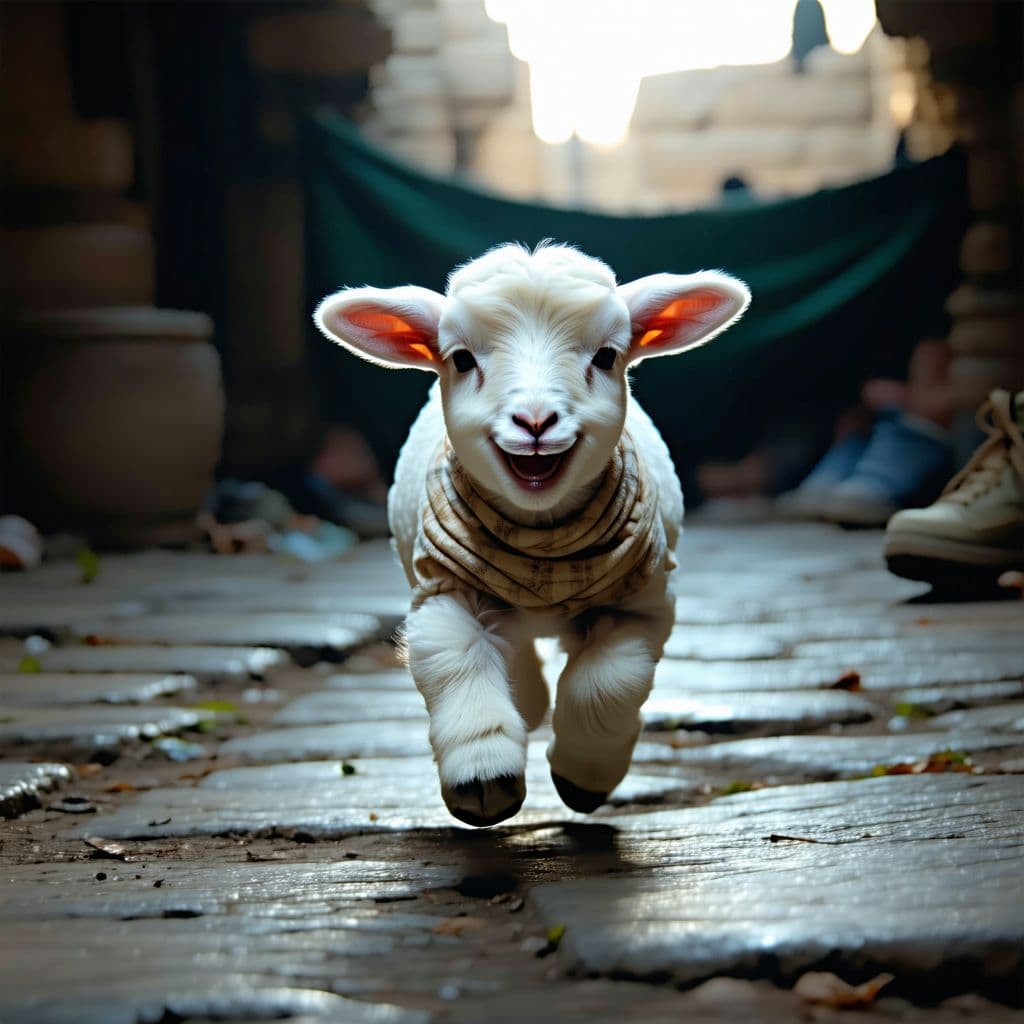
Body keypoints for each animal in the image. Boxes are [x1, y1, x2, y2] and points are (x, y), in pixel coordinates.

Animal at [315, 242, 750, 826]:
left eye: (607, 356)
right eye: (461, 359)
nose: (536, 420)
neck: (544, 551)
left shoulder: (644, 601)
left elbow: (605, 686)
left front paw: (584, 777)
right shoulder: (442, 589)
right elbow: (456, 658)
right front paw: (483, 780)